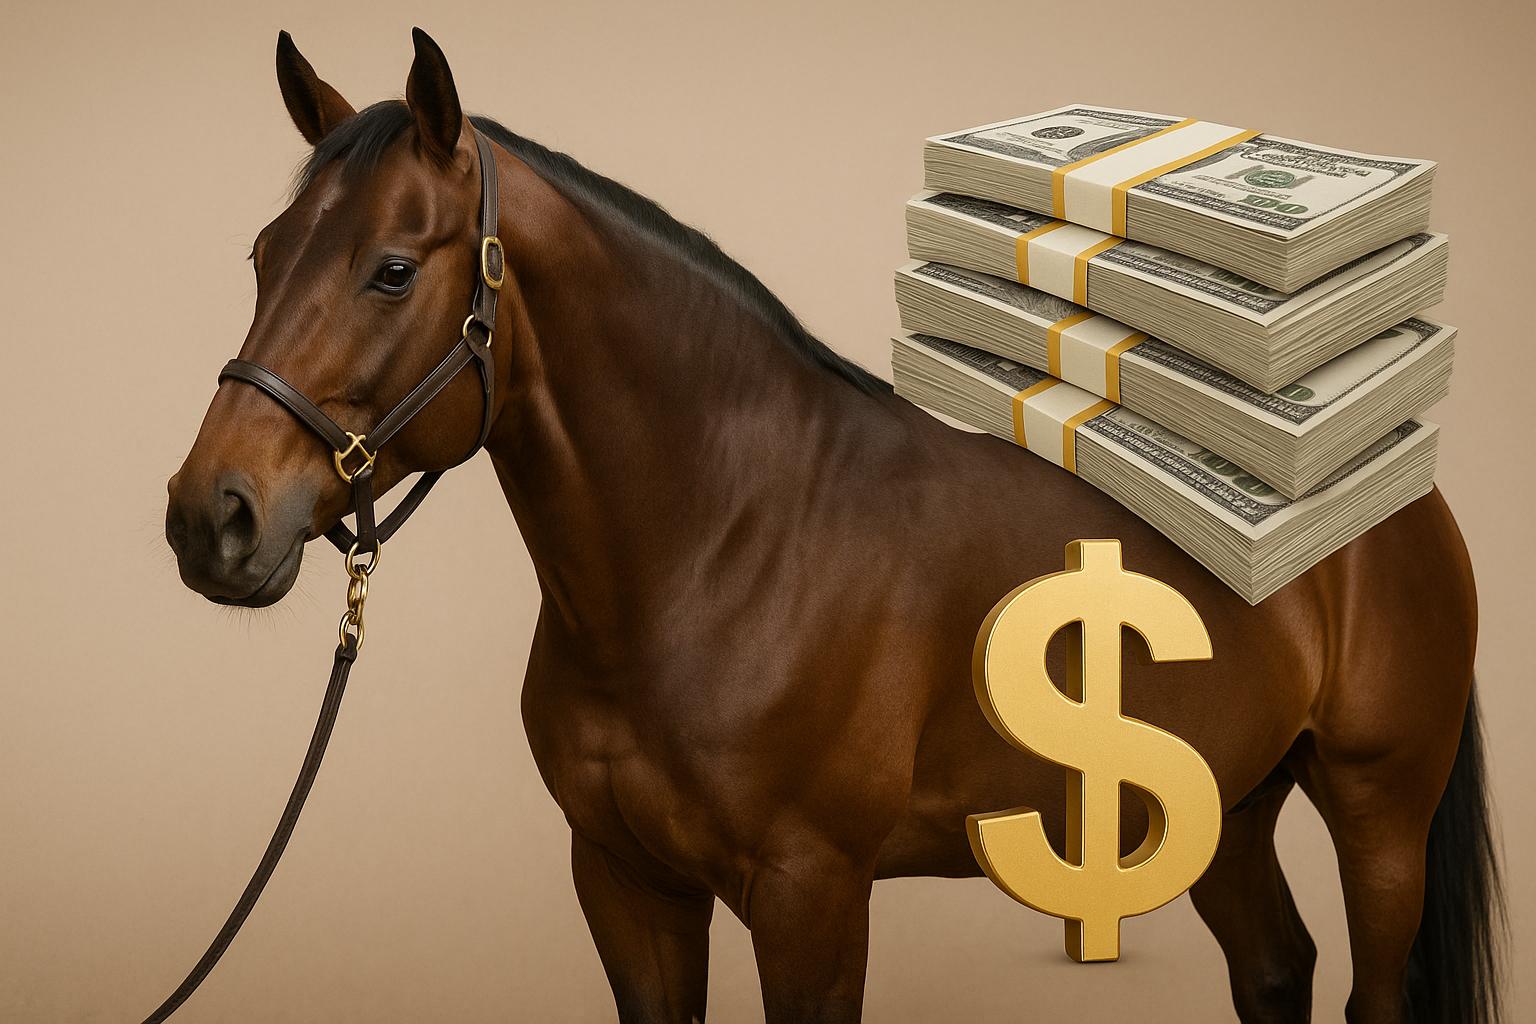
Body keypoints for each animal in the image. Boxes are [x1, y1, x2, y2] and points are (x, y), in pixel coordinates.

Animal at [163, 29, 1501, 1024]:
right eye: (266, 252)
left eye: (392, 269)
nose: (210, 517)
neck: (725, 547)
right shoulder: (627, 886)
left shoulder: (811, 895)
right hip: (1222, 808)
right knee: (1275, 970)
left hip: (1380, 808)